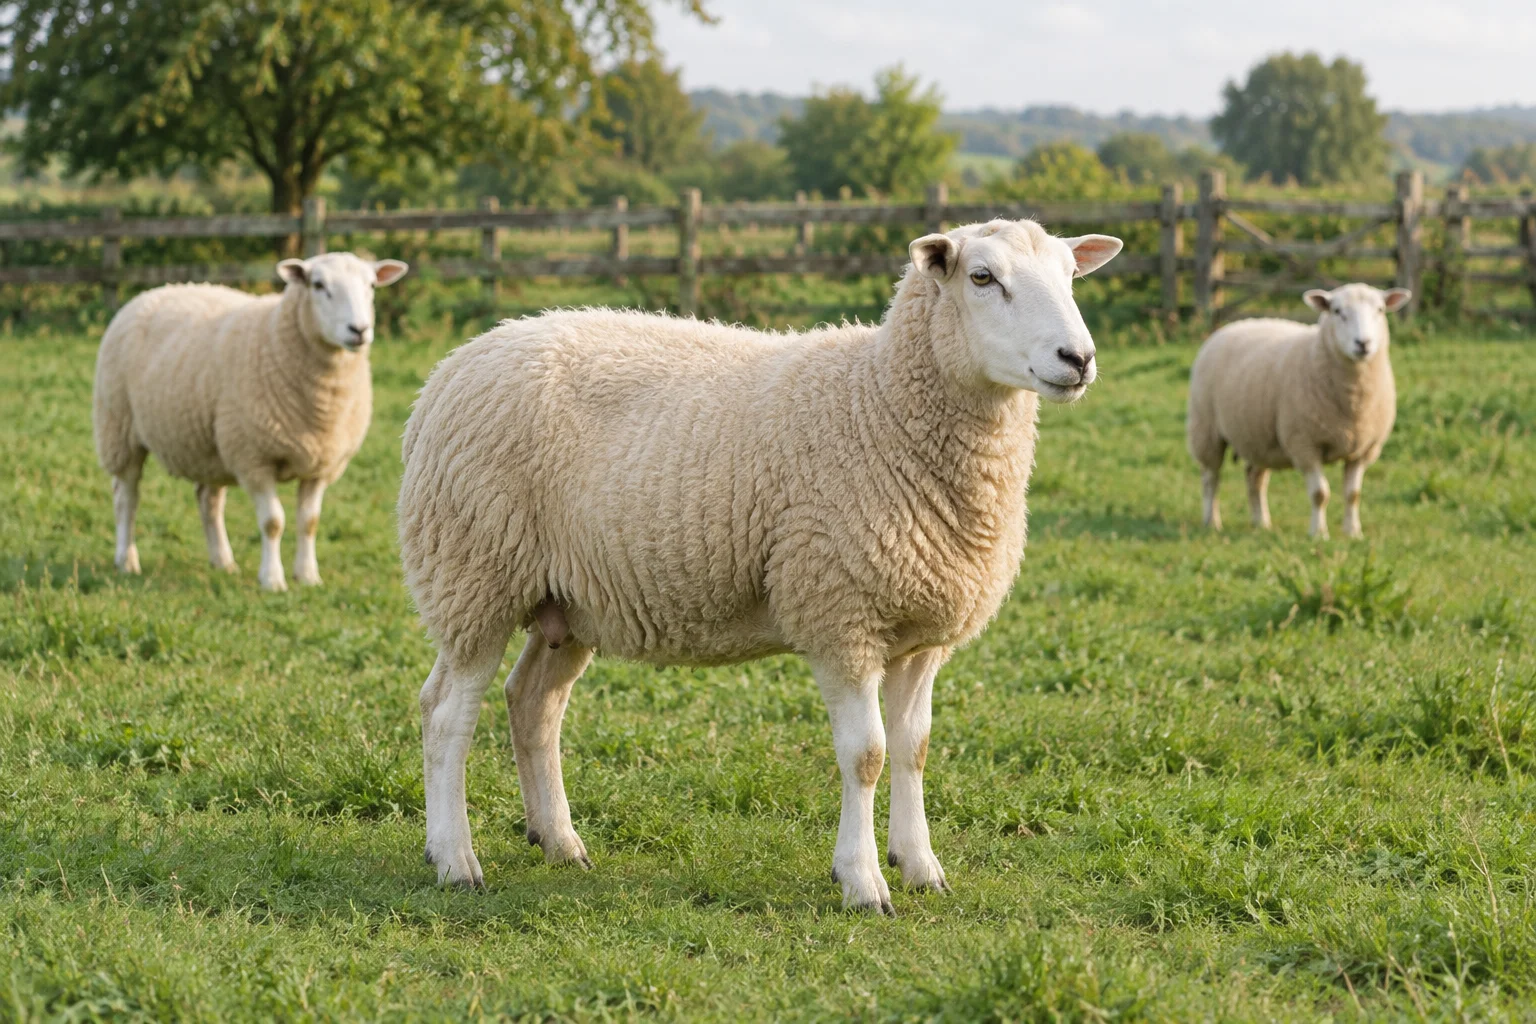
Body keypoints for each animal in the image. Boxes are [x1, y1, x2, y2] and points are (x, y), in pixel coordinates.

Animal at [93, 252, 409, 590]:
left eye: (371, 285)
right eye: (318, 285)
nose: (359, 329)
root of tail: (157, 289)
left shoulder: (321, 465)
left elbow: (309, 522)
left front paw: (308, 576)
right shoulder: (254, 458)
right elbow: (273, 522)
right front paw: (272, 579)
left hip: (211, 446)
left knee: (208, 501)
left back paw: (223, 561)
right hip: (119, 430)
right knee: (126, 497)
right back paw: (127, 560)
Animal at [398, 218, 1123, 913]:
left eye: (1071, 275)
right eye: (982, 277)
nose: (1079, 359)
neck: (881, 402)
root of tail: (450, 371)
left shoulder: (923, 632)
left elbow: (913, 748)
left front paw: (921, 868)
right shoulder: (840, 614)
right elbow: (867, 755)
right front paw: (862, 882)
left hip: (568, 601)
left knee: (534, 703)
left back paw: (558, 841)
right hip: (472, 571)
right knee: (446, 712)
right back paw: (454, 860)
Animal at [1186, 283, 1410, 539]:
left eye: (1380, 310)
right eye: (1337, 311)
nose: (1362, 343)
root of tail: (1234, 324)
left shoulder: (1362, 450)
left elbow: (1353, 495)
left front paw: (1353, 533)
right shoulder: (1304, 444)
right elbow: (1320, 494)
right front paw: (1319, 534)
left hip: (1258, 436)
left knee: (1254, 478)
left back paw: (1261, 522)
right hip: (1206, 429)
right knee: (1211, 478)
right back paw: (1211, 521)